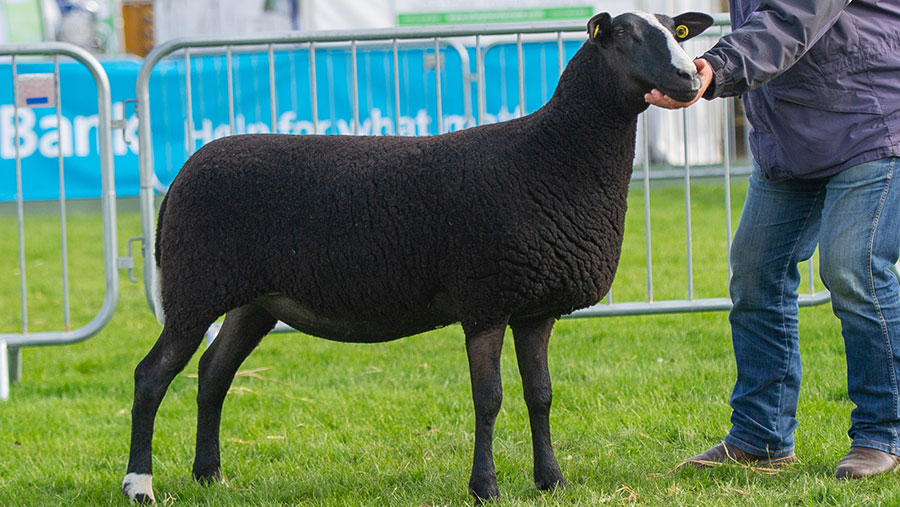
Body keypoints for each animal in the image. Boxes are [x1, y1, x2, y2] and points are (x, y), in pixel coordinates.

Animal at [125, 11, 716, 504]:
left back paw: (210, 475)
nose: (690, 78)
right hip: (194, 288)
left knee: (213, 373)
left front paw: (551, 481)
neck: (552, 154)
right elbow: (489, 399)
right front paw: (485, 488)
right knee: (152, 376)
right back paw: (140, 485)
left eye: (678, 32)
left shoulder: (535, 307)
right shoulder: (485, 298)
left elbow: (541, 395)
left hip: (254, 301)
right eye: (627, 36)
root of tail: (185, 170)